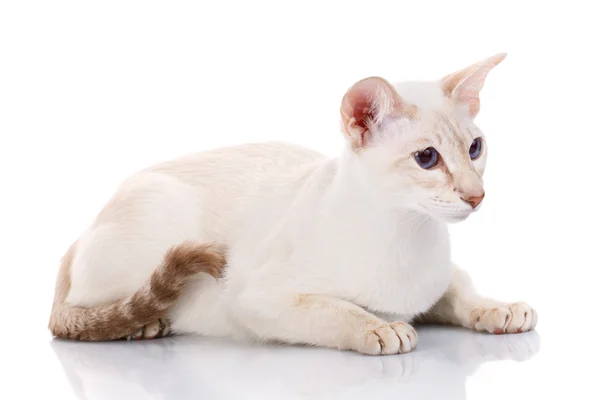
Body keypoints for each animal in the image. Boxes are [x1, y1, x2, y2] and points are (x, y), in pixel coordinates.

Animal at [47, 54, 536, 356]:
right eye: (427, 159)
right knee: (80, 308)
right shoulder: (258, 298)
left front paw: (500, 308)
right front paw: (380, 327)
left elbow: (461, 292)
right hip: (163, 214)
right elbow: (338, 310)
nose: (477, 195)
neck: (409, 231)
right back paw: (143, 324)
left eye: (475, 148)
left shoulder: (439, 280)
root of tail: (80, 233)